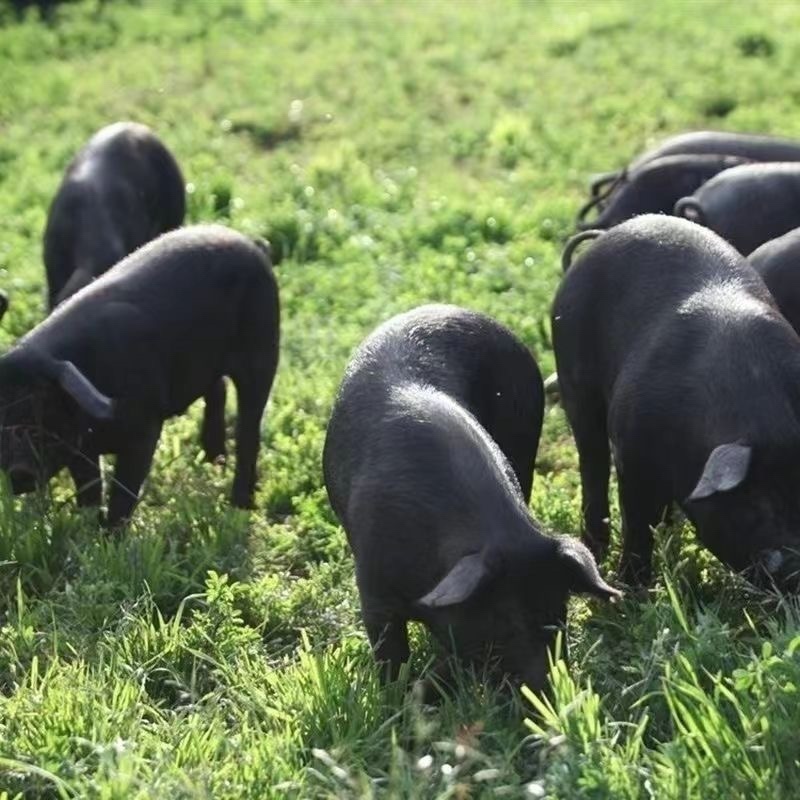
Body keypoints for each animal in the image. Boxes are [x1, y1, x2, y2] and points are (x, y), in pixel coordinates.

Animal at [0, 225, 278, 524]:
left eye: (45, 407)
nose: (19, 471)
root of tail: (249, 242)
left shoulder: (145, 428)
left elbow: (124, 491)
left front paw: (111, 532)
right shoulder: (80, 450)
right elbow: (90, 489)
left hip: (263, 351)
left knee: (249, 428)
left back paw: (240, 505)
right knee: (217, 391)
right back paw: (214, 462)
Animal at [324, 304, 620, 692]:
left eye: (560, 614)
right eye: (505, 619)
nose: (552, 692)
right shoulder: (373, 587)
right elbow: (390, 651)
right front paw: (396, 696)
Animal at [552, 216, 800, 592]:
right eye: (758, 505)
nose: (793, 567)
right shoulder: (630, 452)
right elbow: (637, 521)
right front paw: (633, 589)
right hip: (574, 378)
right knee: (592, 461)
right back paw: (596, 548)